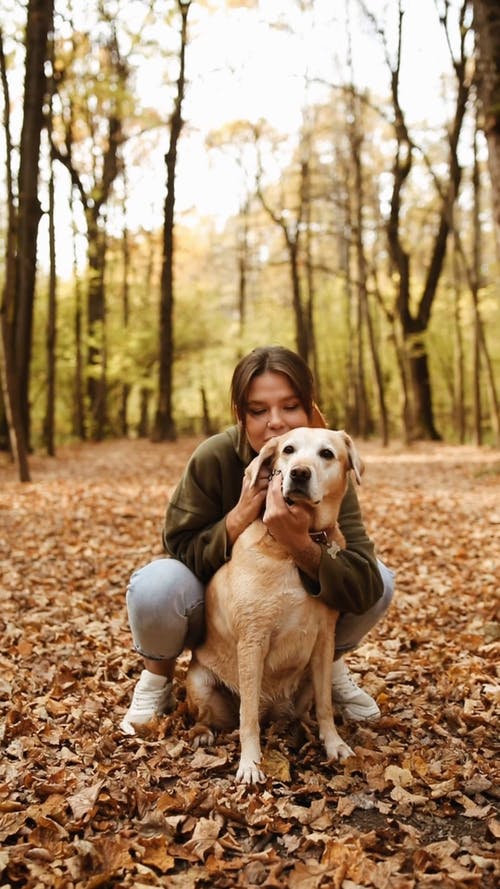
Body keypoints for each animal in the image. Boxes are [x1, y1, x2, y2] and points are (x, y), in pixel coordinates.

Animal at [186, 426, 362, 780]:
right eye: (288, 450)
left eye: (326, 453)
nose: (299, 473)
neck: (290, 548)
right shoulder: (253, 641)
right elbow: (248, 715)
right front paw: (251, 763)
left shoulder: (324, 639)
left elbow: (325, 705)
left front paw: (334, 744)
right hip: (199, 682)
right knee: (211, 717)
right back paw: (202, 734)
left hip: (306, 681)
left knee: (307, 709)